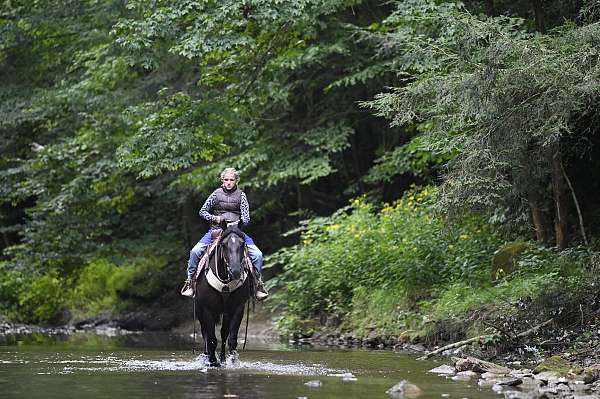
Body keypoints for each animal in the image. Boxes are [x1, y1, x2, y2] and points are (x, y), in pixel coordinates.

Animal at [195, 223, 251, 368]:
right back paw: (207, 358)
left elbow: (231, 338)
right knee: (205, 333)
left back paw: (223, 359)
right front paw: (212, 362)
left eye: (242, 243)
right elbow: (211, 338)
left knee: (224, 333)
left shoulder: (237, 308)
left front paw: (232, 362)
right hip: (200, 310)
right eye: (224, 245)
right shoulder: (207, 309)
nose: (235, 271)